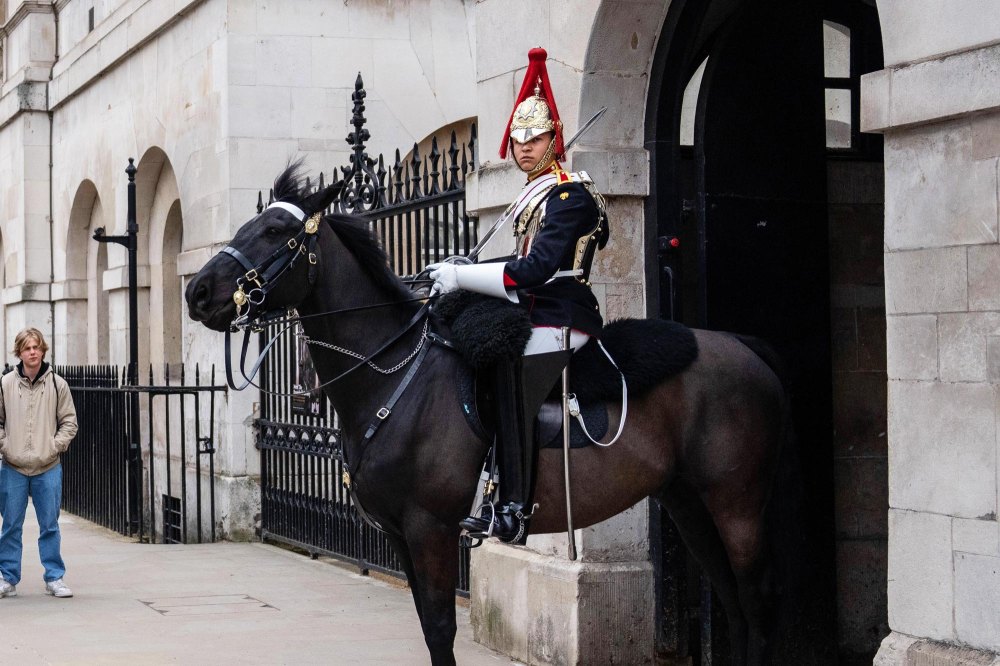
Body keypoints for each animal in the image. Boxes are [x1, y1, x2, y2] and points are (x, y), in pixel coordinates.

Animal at [186, 163, 788, 660]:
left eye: (275, 232)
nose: (198, 292)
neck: (392, 375)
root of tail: (741, 344)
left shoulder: (431, 527)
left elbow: (440, 630)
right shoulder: (401, 535)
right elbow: (428, 626)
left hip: (736, 502)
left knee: (757, 607)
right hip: (688, 501)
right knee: (734, 608)